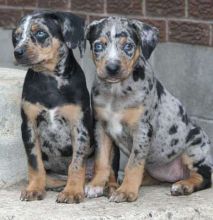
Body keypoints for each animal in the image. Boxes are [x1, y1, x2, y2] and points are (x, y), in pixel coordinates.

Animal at [12, 9, 93, 203]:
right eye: (16, 36)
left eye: (40, 33)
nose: (17, 52)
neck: (49, 79)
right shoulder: (29, 125)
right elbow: (35, 163)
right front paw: (34, 189)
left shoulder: (79, 127)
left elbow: (76, 164)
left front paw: (72, 192)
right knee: (49, 175)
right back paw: (55, 185)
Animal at [85, 16, 213, 203]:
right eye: (98, 46)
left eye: (128, 46)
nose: (112, 68)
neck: (116, 92)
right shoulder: (101, 126)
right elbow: (101, 160)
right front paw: (96, 185)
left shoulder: (143, 129)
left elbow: (133, 163)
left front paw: (126, 192)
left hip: (194, 147)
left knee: (204, 176)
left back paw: (183, 185)